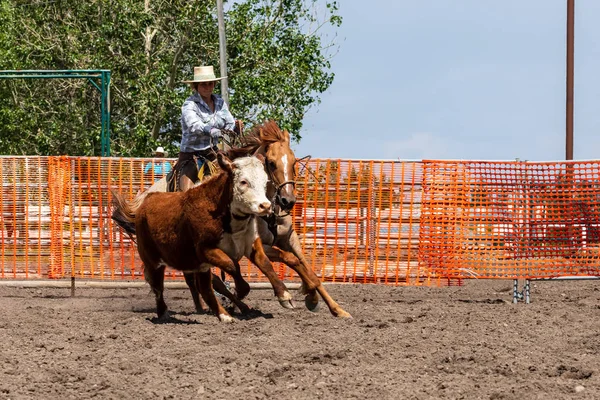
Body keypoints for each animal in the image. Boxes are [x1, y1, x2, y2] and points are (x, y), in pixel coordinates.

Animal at [111, 153, 270, 322]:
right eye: (243, 181)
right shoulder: (205, 250)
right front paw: (240, 292)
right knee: (163, 284)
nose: (266, 206)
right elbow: (229, 268)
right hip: (156, 259)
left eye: (265, 181)